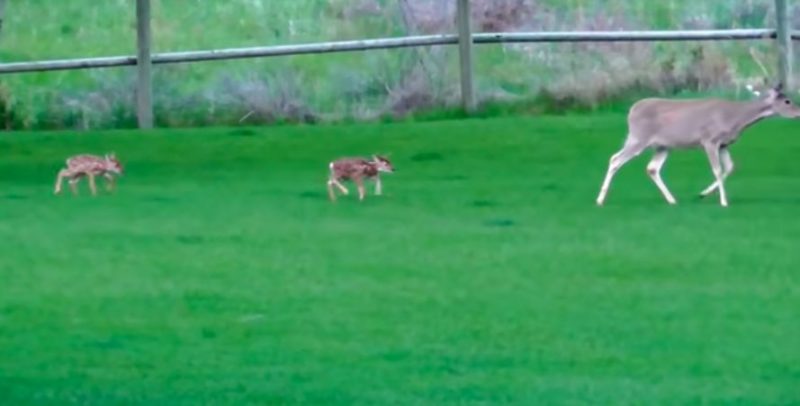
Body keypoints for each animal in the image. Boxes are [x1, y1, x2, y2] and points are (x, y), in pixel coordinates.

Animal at [592, 84, 800, 208]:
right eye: (787, 101)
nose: (798, 112)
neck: (735, 119)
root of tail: (631, 110)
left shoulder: (724, 144)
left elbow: (730, 167)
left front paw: (703, 194)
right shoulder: (709, 140)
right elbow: (717, 169)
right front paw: (723, 201)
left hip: (662, 145)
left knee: (652, 168)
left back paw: (672, 200)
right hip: (639, 137)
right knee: (615, 159)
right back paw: (600, 199)